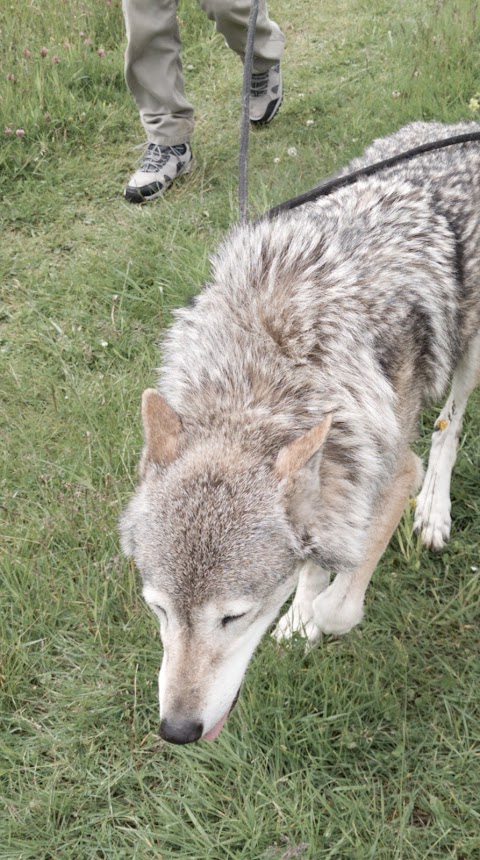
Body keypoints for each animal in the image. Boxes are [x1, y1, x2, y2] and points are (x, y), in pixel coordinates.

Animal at [121, 122, 480, 744]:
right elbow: (312, 558)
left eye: (233, 617)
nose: (177, 730)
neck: (265, 375)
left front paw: (312, 615)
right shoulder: (333, 478)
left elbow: (340, 605)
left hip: (471, 349)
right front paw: (298, 611)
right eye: (159, 609)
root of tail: (452, 131)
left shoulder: (387, 474)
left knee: (447, 425)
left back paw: (434, 511)